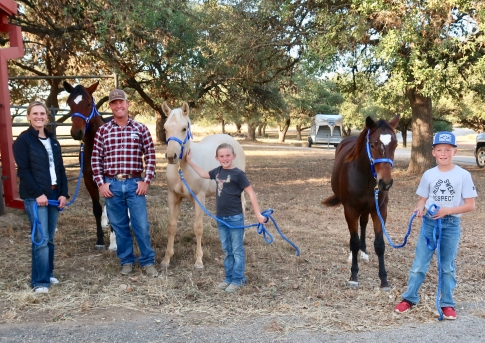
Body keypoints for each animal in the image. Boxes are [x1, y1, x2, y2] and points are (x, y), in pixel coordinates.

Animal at [62, 82, 116, 251]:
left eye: (88, 104)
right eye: (69, 104)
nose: (76, 132)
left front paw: (114, 242)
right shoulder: (88, 180)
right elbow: (97, 209)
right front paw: (100, 240)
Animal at [163, 101, 246, 268]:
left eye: (184, 128)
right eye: (165, 128)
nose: (171, 156)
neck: (183, 168)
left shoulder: (199, 198)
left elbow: (198, 228)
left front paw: (199, 260)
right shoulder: (173, 197)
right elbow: (172, 226)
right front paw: (167, 259)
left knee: (243, 207)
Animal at [324, 115, 398, 290]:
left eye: (395, 145)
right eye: (372, 144)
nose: (385, 183)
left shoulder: (380, 210)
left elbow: (379, 244)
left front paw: (384, 280)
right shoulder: (350, 210)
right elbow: (354, 241)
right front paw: (354, 276)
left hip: (367, 209)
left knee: (363, 225)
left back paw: (363, 253)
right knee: (355, 234)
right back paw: (353, 255)